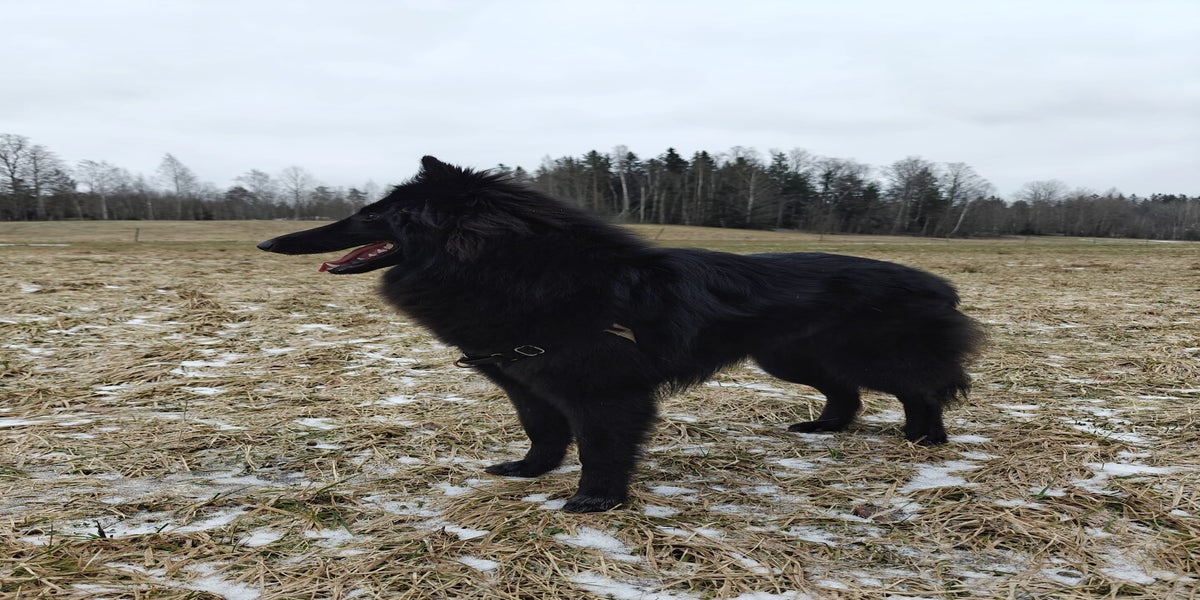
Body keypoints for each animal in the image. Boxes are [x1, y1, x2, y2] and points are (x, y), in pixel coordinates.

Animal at [258, 156, 984, 512]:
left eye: (373, 215)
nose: (267, 243)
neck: (523, 270)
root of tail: (937, 283)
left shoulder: (604, 392)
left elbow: (601, 448)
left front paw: (595, 501)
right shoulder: (529, 384)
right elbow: (543, 434)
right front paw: (529, 472)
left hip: (862, 354)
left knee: (921, 388)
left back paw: (923, 440)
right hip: (790, 356)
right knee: (846, 393)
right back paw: (826, 428)